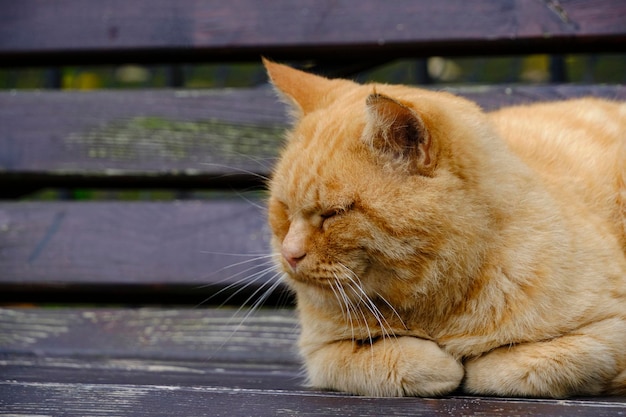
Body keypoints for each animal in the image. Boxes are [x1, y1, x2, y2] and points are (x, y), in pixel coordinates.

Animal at [264, 58, 624, 396]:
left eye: (334, 213)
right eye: (284, 208)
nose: (290, 255)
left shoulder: (607, 331)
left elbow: (514, 365)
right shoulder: (321, 353)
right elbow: (390, 360)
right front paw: (441, 364)